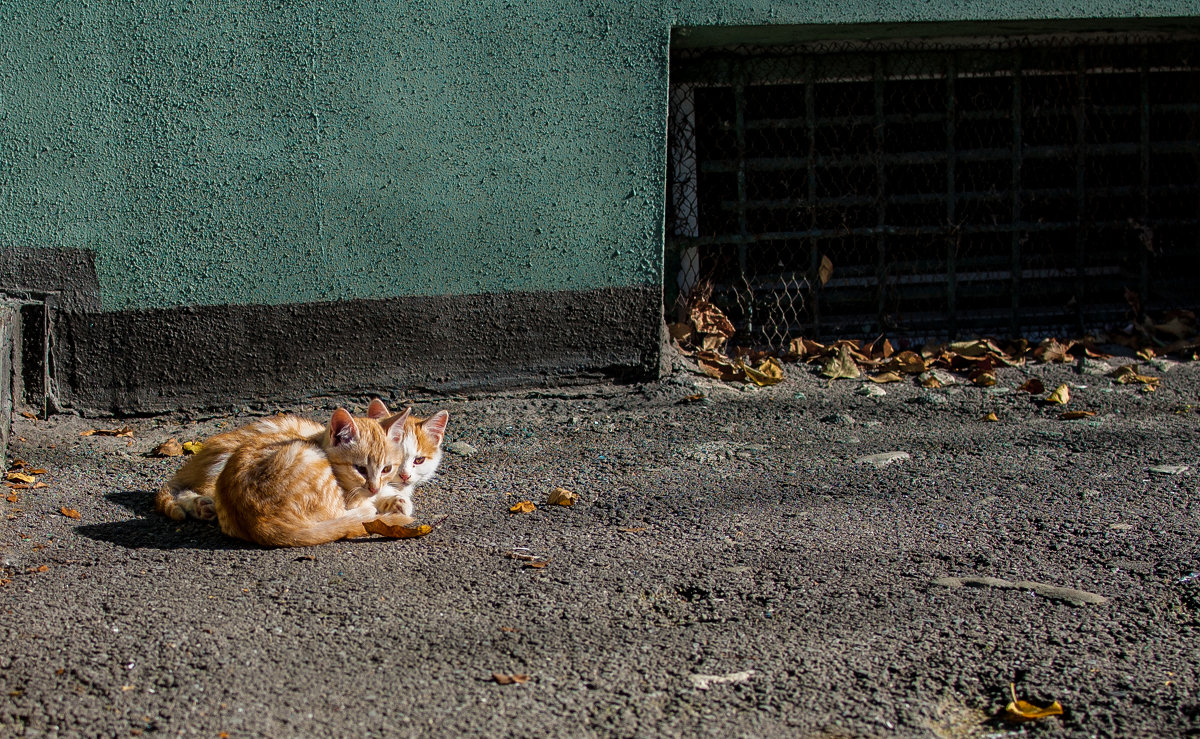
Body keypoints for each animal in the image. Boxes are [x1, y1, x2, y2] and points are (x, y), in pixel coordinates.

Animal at [208, 407, 410, 544]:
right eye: (360, 468)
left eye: (387, 469)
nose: (374, 487)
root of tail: (259, 523)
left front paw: (397, 500)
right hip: (312, 460)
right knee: (339, 514)